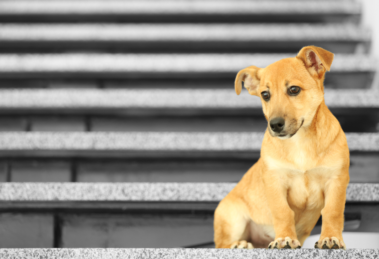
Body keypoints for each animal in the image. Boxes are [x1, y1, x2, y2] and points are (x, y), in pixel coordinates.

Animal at [215, 46, 352, 250]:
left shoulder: (336, 180)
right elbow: (283, 212)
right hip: (232, 219)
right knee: (221, 244)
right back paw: (239, 245)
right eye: (265, 95)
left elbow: (332, 211)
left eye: (294, 90)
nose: (275, 125)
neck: (300, 141)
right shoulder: (275, 181)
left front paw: (330, 237)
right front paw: (285, 238)